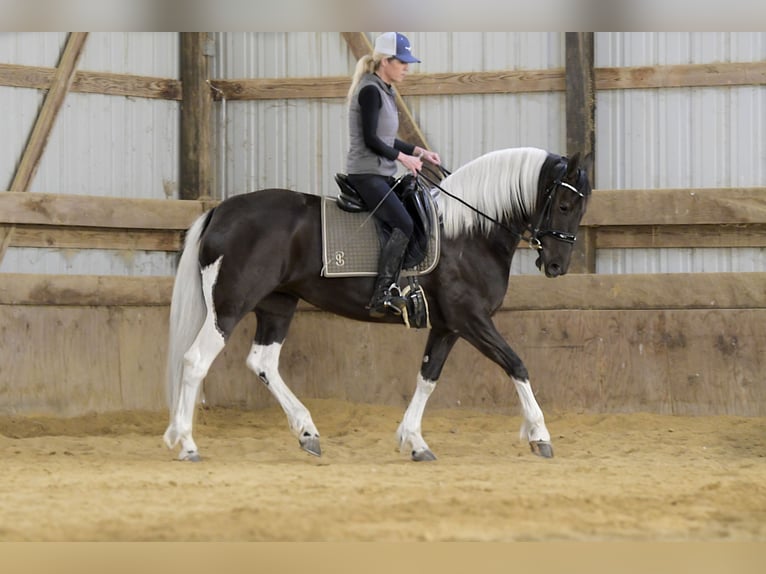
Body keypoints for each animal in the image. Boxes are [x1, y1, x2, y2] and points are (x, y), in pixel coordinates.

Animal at [163, 147, 593, 462]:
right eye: (565, 206)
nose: (557, 265)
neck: (469, 232)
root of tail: (221, 210)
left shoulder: (447, 326)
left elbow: (428, 378)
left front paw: (414, 440)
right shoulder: (471, 319)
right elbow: (516, 364)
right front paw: (539, 434)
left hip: (277, 305)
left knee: (262, 362)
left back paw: (307, 432)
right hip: (229, 306)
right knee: (195, 361)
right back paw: (187, 443)